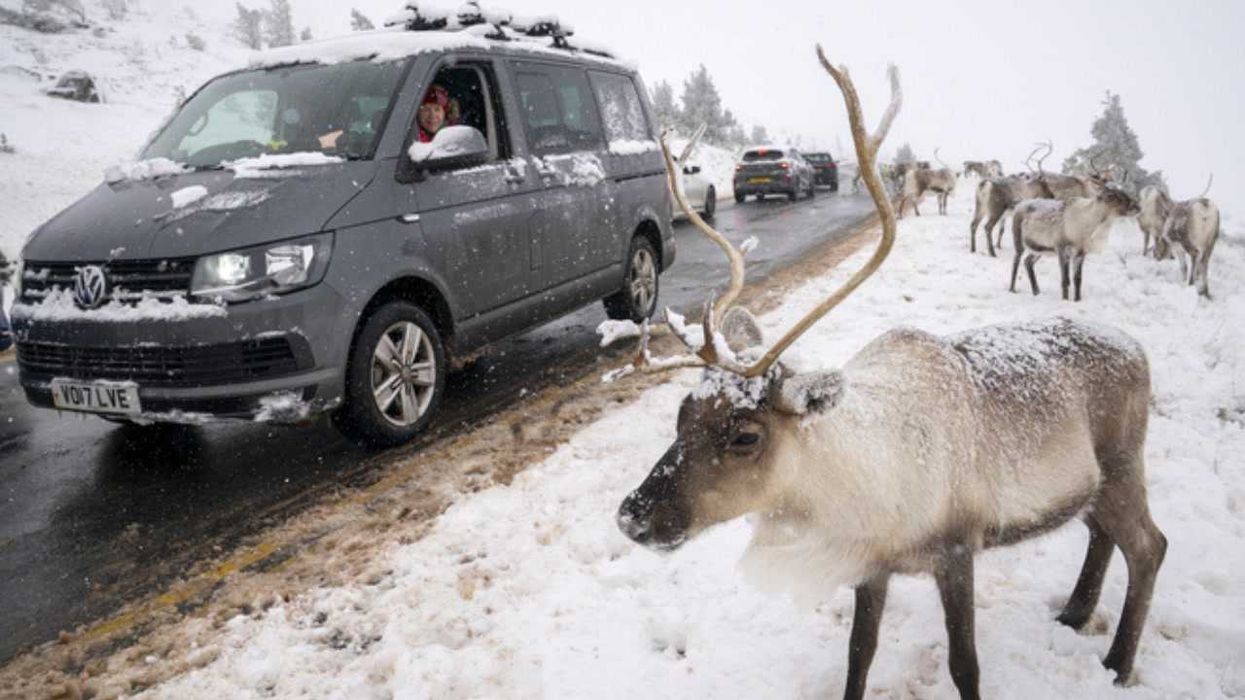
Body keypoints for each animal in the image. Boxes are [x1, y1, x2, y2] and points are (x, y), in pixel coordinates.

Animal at [1008, 178, 1139, 301]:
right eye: (1111, 196)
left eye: (1124, 192)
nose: (1136, 207)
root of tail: (1018, 206)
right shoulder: (1062, 248)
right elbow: (1065, 280)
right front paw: (1065, 300)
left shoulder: (1080, 253)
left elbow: (1078, 279)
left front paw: (1077, 300)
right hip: (1019, 240)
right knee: (1016, 261)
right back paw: (1012, 289)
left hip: (1040, 249)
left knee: (1027, 262)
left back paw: (1036, 291)